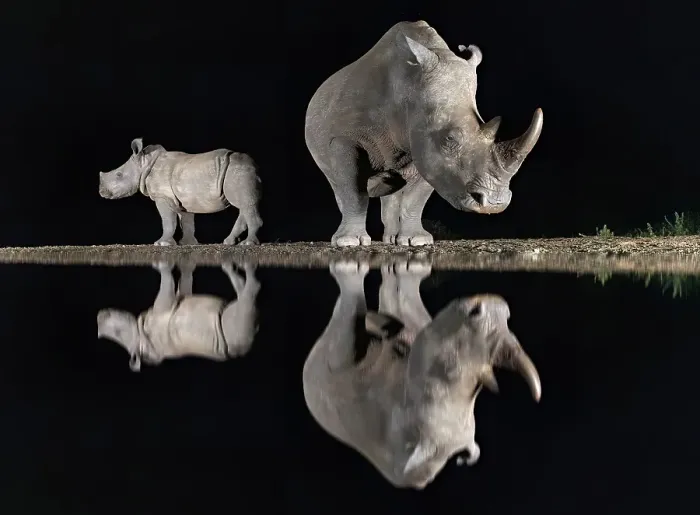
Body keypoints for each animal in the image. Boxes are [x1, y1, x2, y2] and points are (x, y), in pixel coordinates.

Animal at [97, 260, 260, 371]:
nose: (100, 316)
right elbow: (173, 286)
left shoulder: (166, 306)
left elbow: (171, 286)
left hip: (235, 333)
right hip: (234, 334)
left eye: (117, 332)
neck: (141, 341)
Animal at [98, 138, 263, 246]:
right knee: (244, 205)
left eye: (119, 175)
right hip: (238, 170)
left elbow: (167, 220)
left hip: (238, 171)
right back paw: (229, 242)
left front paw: (161, 244)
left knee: (245, 205)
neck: (144, 164)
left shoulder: (162, 196)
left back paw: (247, 244)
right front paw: (188, 243)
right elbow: (186, 221)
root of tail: (253, 165)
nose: (101, 191)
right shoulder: (185, 198)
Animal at [305, 21, 543, 247]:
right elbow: (353, 191)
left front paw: (416, 240)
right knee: (338, 184)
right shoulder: (344, 139)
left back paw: (391, 239)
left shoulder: (426, 149)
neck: (408, 90)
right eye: (449, 140)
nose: (494, 204)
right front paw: (348, 242)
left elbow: (416, 198)